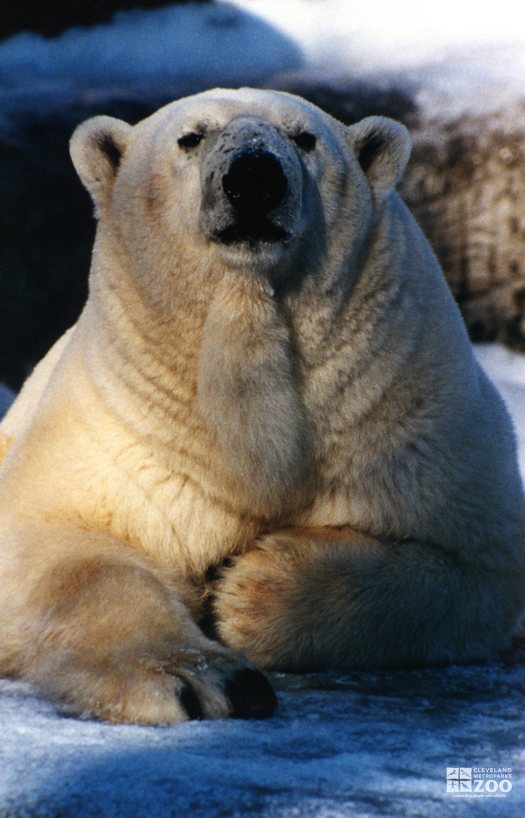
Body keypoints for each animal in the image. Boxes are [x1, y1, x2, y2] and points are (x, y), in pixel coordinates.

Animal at [1, 87, 524, 720]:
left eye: (305, 137)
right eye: (191, 137)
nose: (253, 177)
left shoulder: (406, 401)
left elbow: (466, 565)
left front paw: (249, 592)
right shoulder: (117, 425)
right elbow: (67, 548)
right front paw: (204, 681)